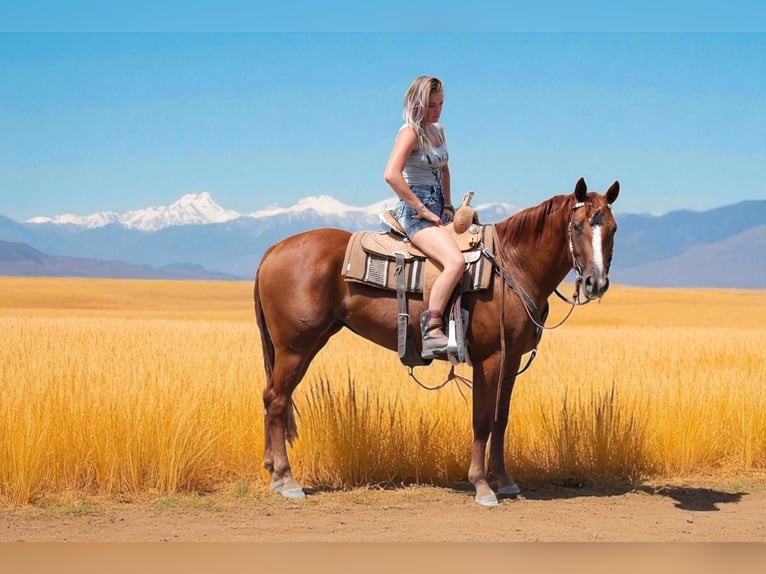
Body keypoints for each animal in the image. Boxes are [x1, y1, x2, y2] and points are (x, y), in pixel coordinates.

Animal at [253, 177, 620, 506]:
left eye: (613, 229)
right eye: (576, 227)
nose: (596, 283)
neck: (512, 265)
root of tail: (273, 250)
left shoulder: (511, 360)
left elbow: (500, 419)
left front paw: (504, 481)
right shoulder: (490, 358)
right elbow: (482, 420)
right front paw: (481, 486)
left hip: (310, 343)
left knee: (273, 397)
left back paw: (275, 473)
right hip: (295, 347)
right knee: (277, 399)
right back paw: (286, 480)